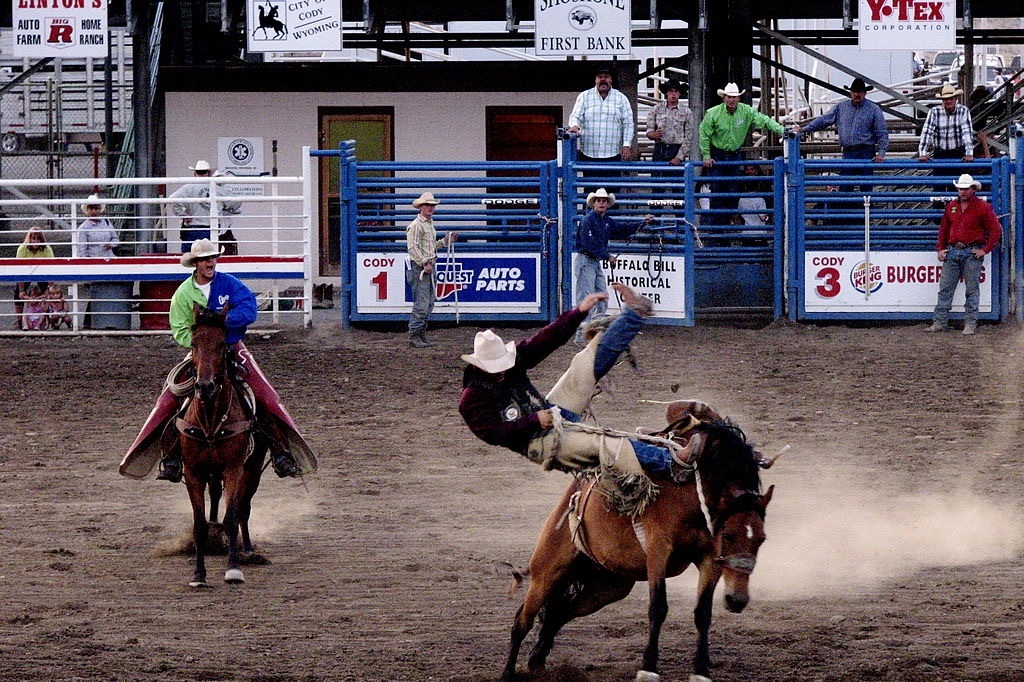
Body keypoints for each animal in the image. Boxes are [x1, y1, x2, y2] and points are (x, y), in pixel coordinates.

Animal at [499, 403, 770, 679]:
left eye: (762, 539)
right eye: (728, 535)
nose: (737, 600)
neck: (693, 492)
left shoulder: (710, 559)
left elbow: (703, 612)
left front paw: (701, 671)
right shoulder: (658, 551)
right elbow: (658, 608)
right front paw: (648, 669)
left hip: (607, 585)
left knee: (558, 613)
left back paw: (537, 662)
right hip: (547, 571)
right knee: (522, 621)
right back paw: (508, 672)